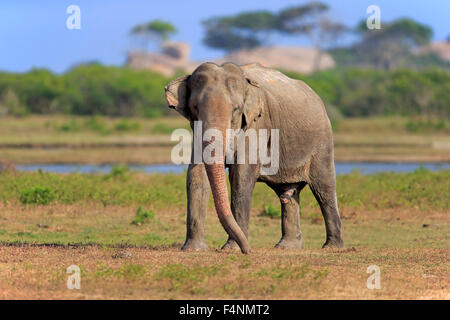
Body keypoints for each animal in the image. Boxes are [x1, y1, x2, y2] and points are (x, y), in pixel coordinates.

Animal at [165, 61, 344, 254]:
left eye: (236, 110)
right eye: (195, 108)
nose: (248, 250)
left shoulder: (258, 123)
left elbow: (241, 176)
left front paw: (232, 249)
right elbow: (196, 175)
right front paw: (193, 249)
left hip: (322, 142)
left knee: (324, 190)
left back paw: (332, 247)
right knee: (288, 194)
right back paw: (286, 247)